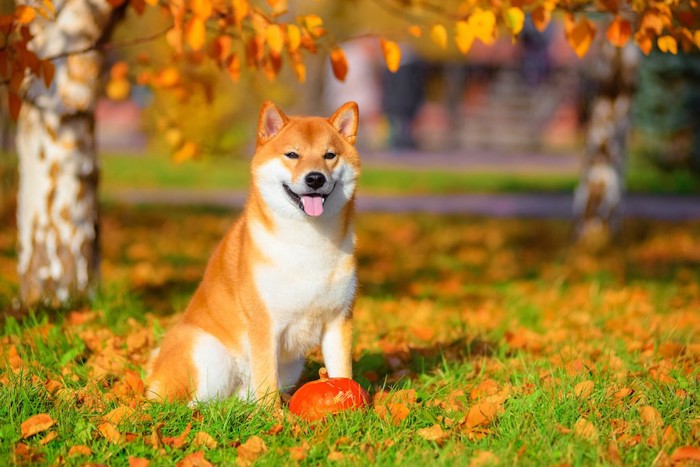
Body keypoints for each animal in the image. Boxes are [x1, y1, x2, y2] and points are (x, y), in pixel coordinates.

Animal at [144, 100, 358, 408]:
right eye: (292, 154)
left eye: (329, 155)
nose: (315, 178)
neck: (308, 240)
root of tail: (155, 365)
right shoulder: (264, 324)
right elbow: (267, 381)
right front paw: (275, 416)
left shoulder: (338, 319)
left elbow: (342, 372)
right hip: (208, 356)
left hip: (288, 367)